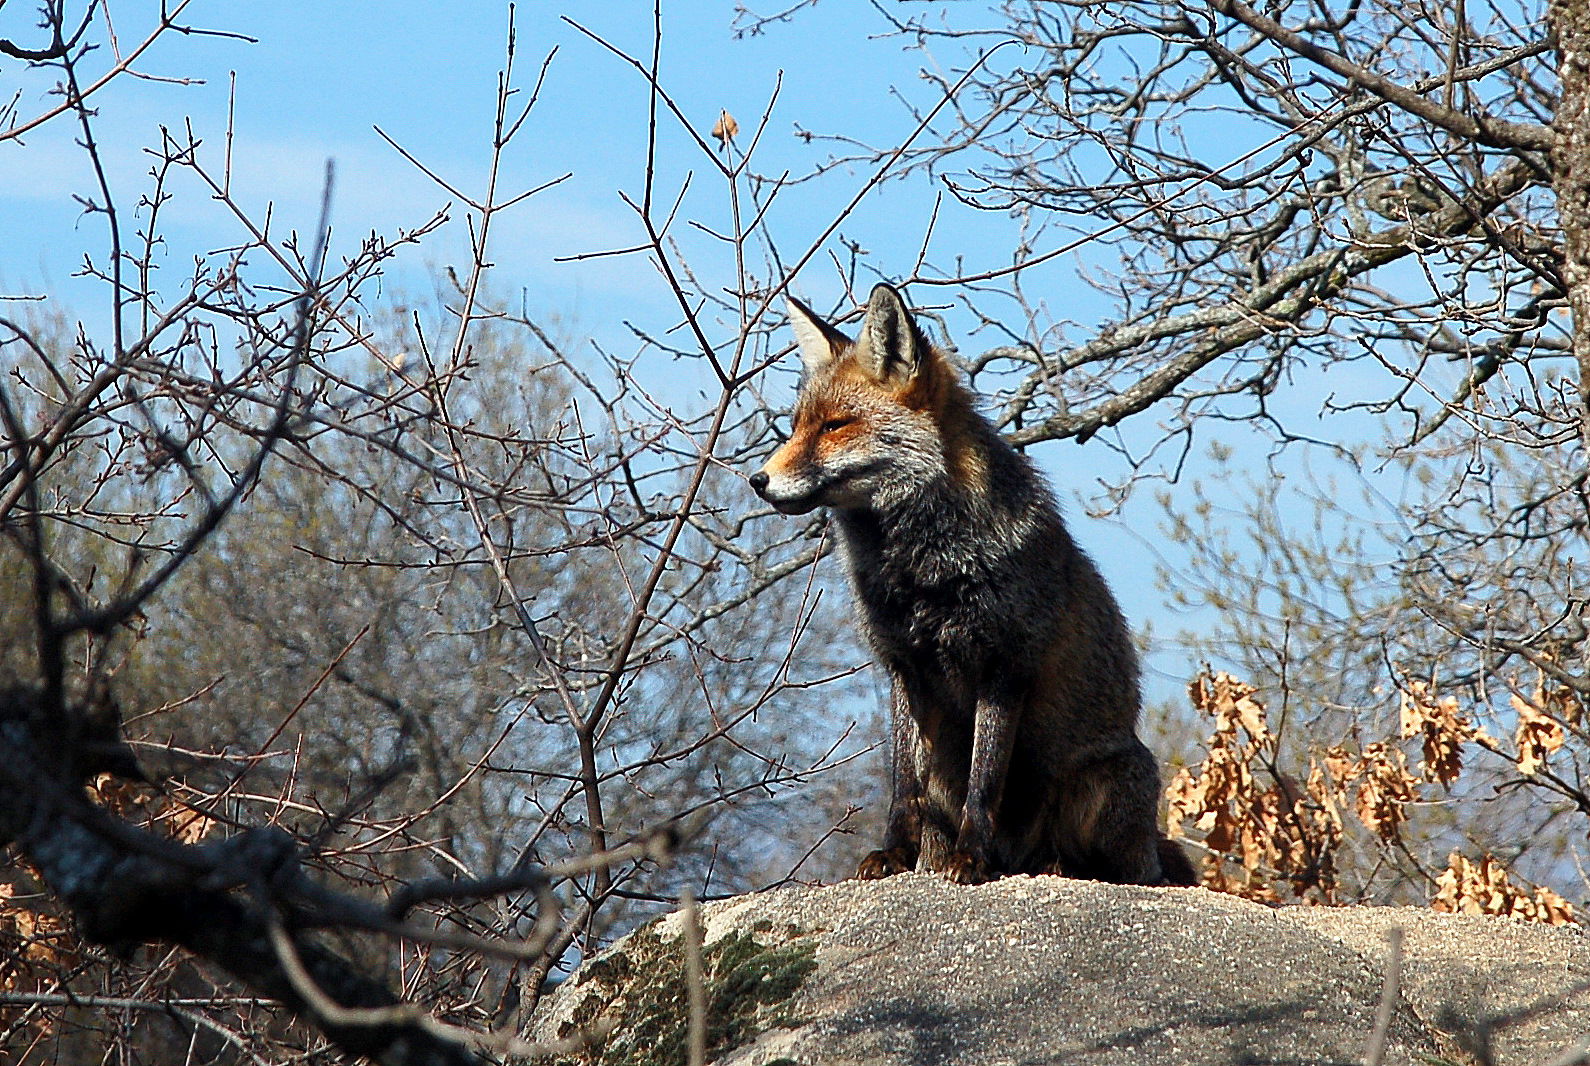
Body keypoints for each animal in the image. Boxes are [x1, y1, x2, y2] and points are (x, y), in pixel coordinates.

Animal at [753, 281, 1195, 884]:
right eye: (797, 425)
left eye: (836, 426)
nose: (758, 480)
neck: (921, 577)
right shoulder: (905, 667)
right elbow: (904, 786)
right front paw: (894, 855)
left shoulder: (1004, 664)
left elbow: (983, 784)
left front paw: (972, 859)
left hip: (1101, 789)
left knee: (1110, 867)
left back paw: (1052, 864)